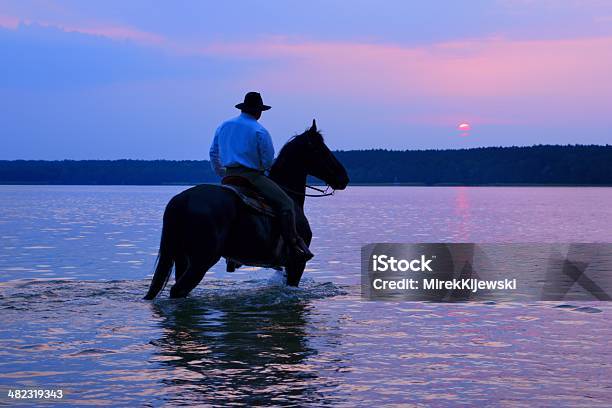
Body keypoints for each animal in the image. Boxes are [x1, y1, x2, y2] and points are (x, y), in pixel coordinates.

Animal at [140, 119, 346, 298]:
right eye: (321, 150)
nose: (343, 177)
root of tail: (181, 200)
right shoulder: (297, 264)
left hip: (182, 257)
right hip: (202, 260)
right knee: (178, 290)